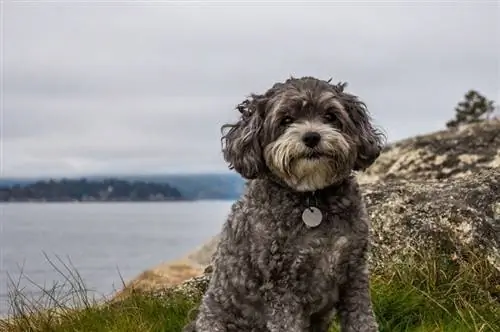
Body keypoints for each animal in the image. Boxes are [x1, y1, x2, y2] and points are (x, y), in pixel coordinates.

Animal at [186, 76, 384, 330]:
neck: (311, 197)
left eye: (330, 116)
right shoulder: (282, 287)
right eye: (286, 120)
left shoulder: (354, 274)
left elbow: (362, 320)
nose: (311, 137)